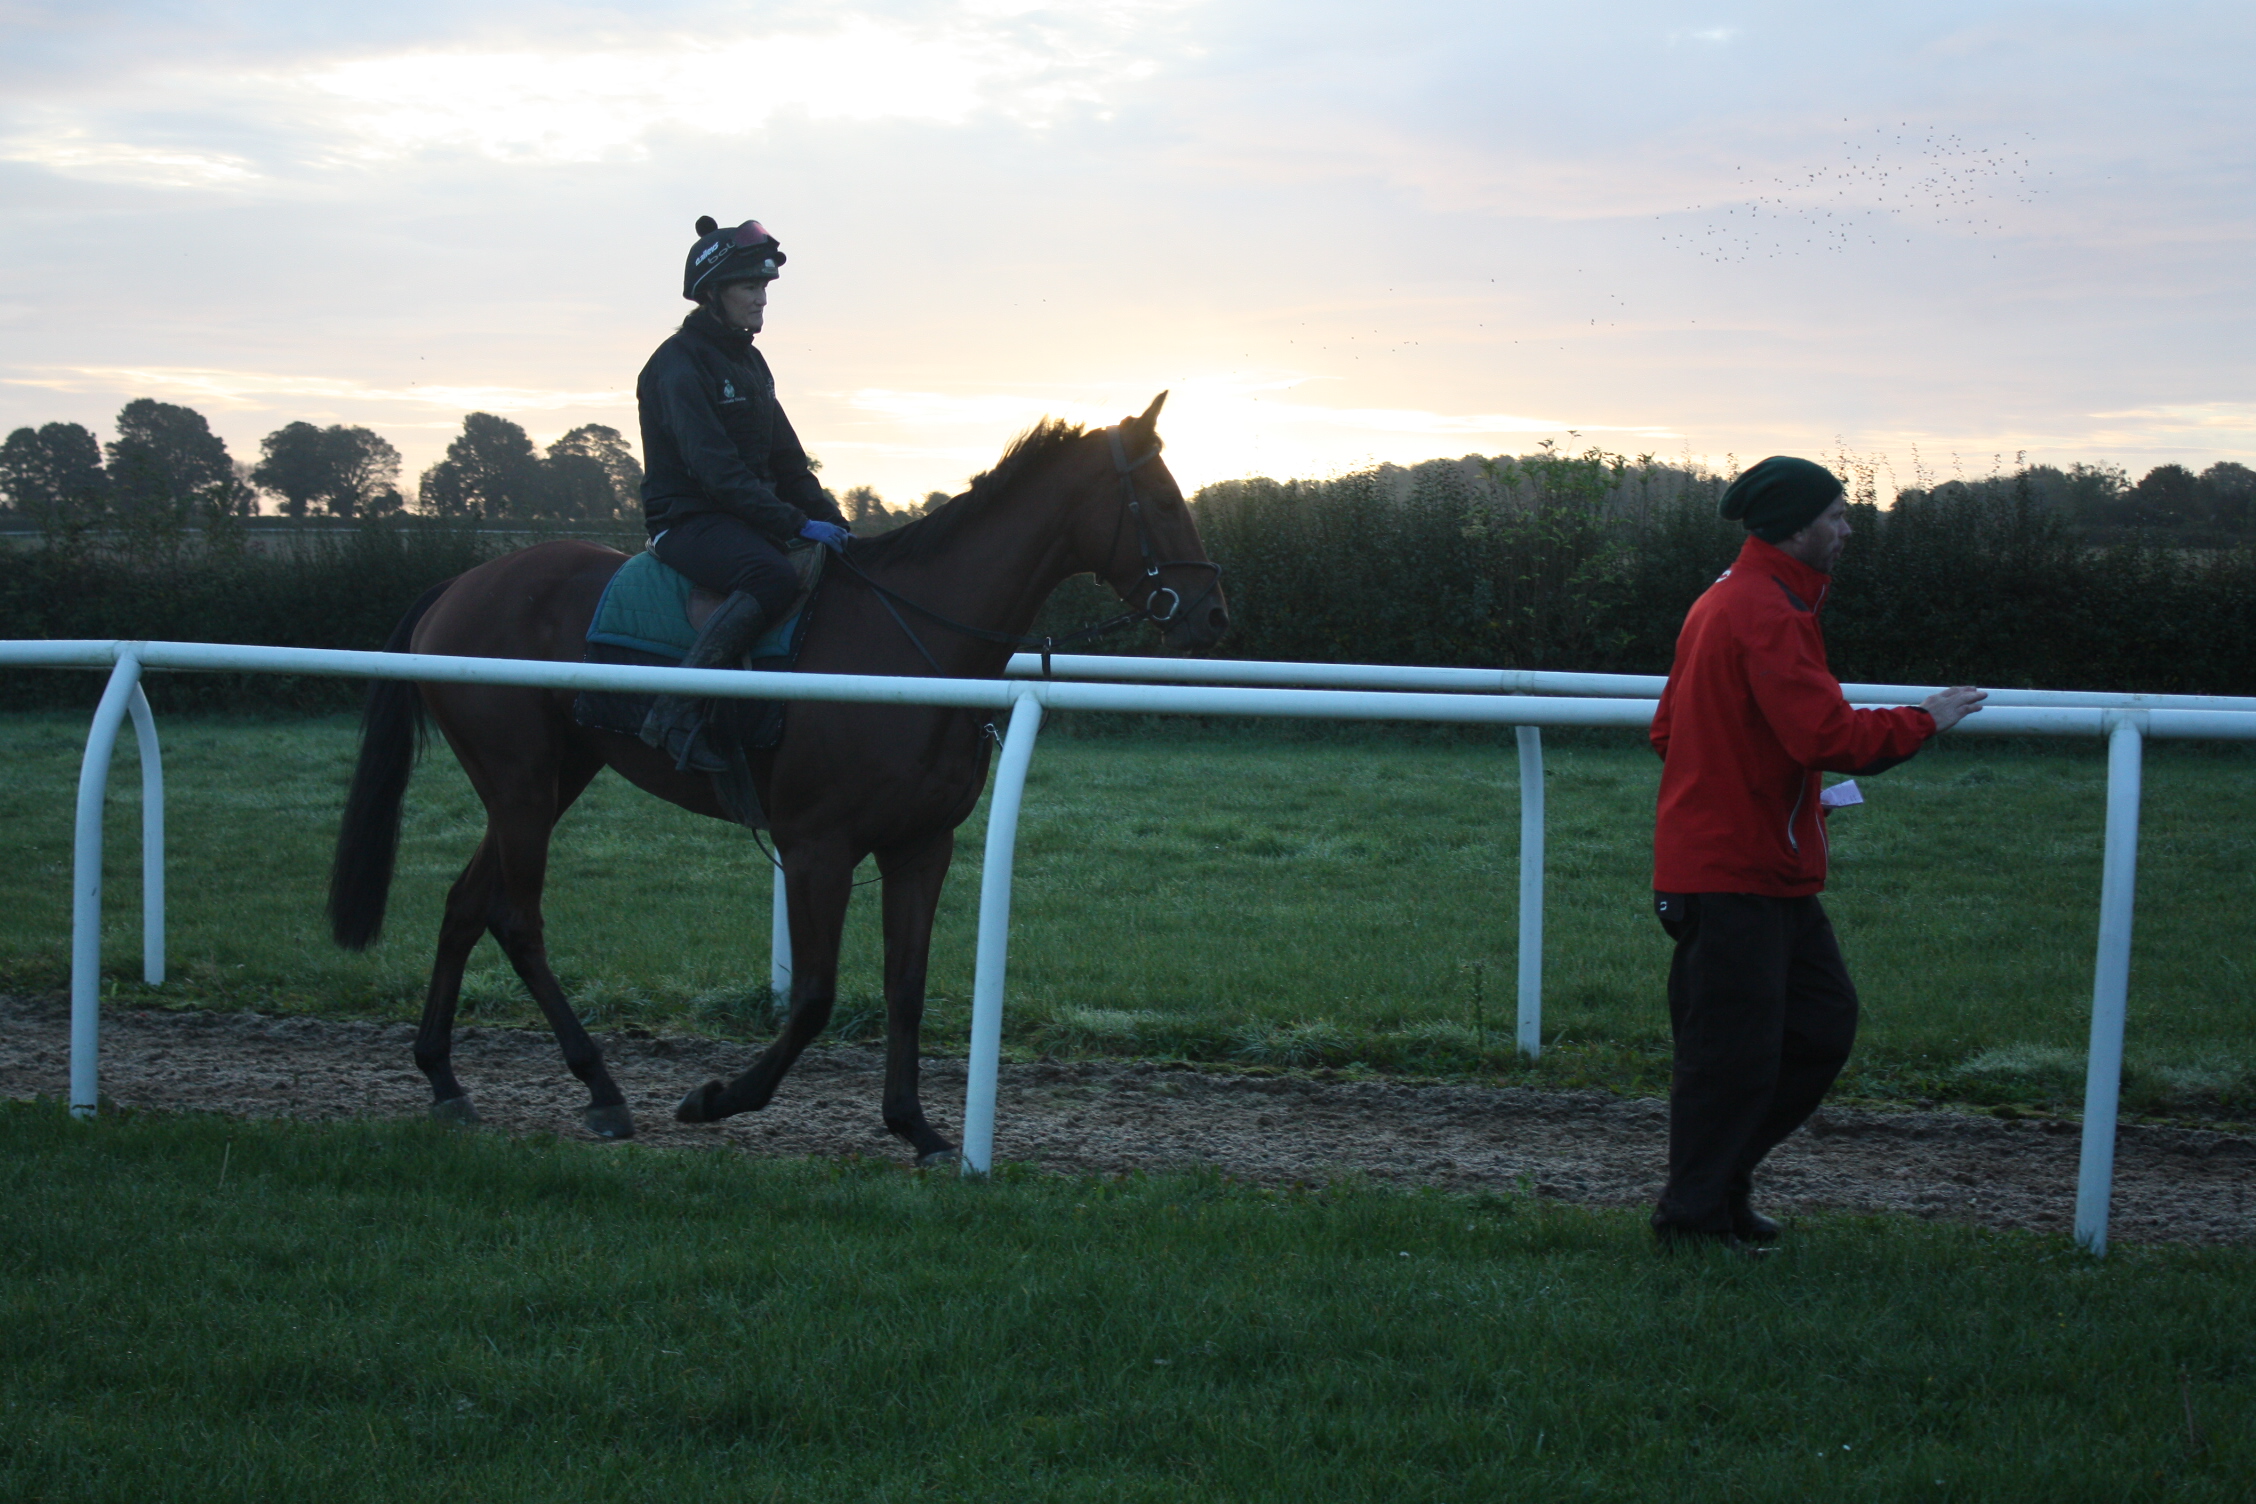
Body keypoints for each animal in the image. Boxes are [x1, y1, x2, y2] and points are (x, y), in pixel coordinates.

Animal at [322, 392, 1218, 1163]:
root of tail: (456, 585)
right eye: (1162, 499)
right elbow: (816, 995)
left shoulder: (920, 845)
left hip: (549, 778)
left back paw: (444, 1077)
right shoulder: (818, 845)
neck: (908, 650)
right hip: (519, 781)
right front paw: (718, 1098)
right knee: (516, 918)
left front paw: (919, 1129)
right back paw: (602, 1088)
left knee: (465, 905)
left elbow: (906, 984)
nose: (1213, 611)